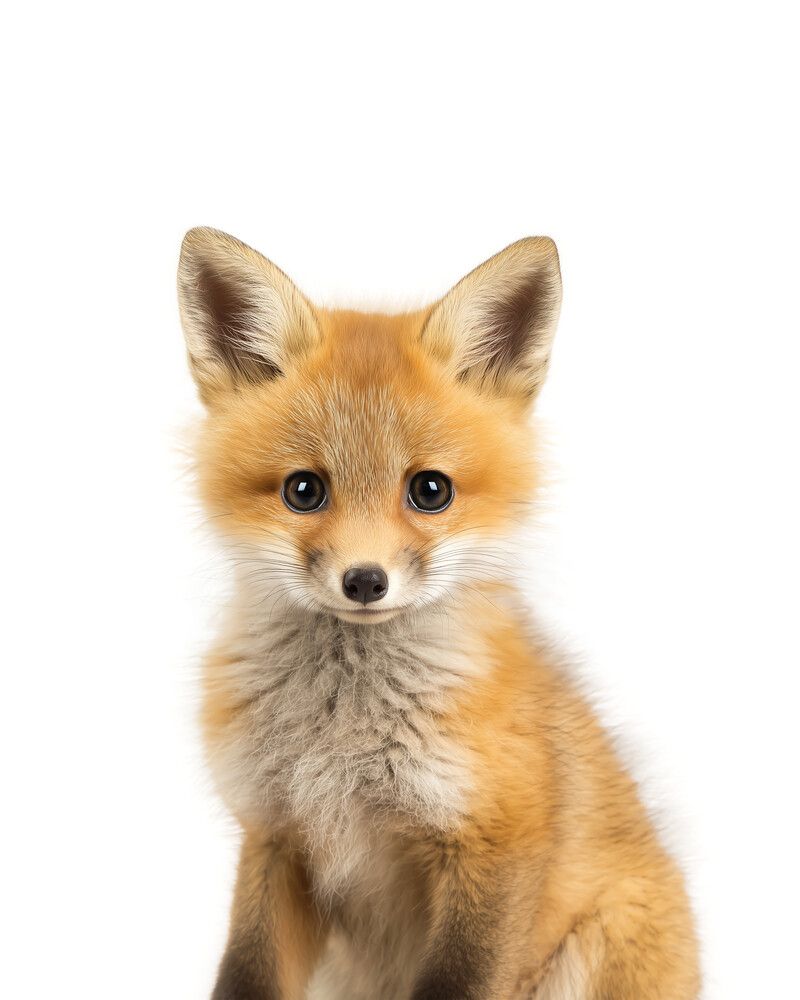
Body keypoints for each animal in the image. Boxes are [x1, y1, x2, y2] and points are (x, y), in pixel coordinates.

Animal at [177, 227, 700, 1000]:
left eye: (430, 491)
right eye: (304, 490)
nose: (365, 581)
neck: (341, 744)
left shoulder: (494, 843)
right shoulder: (274, 835)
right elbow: (247, 974)